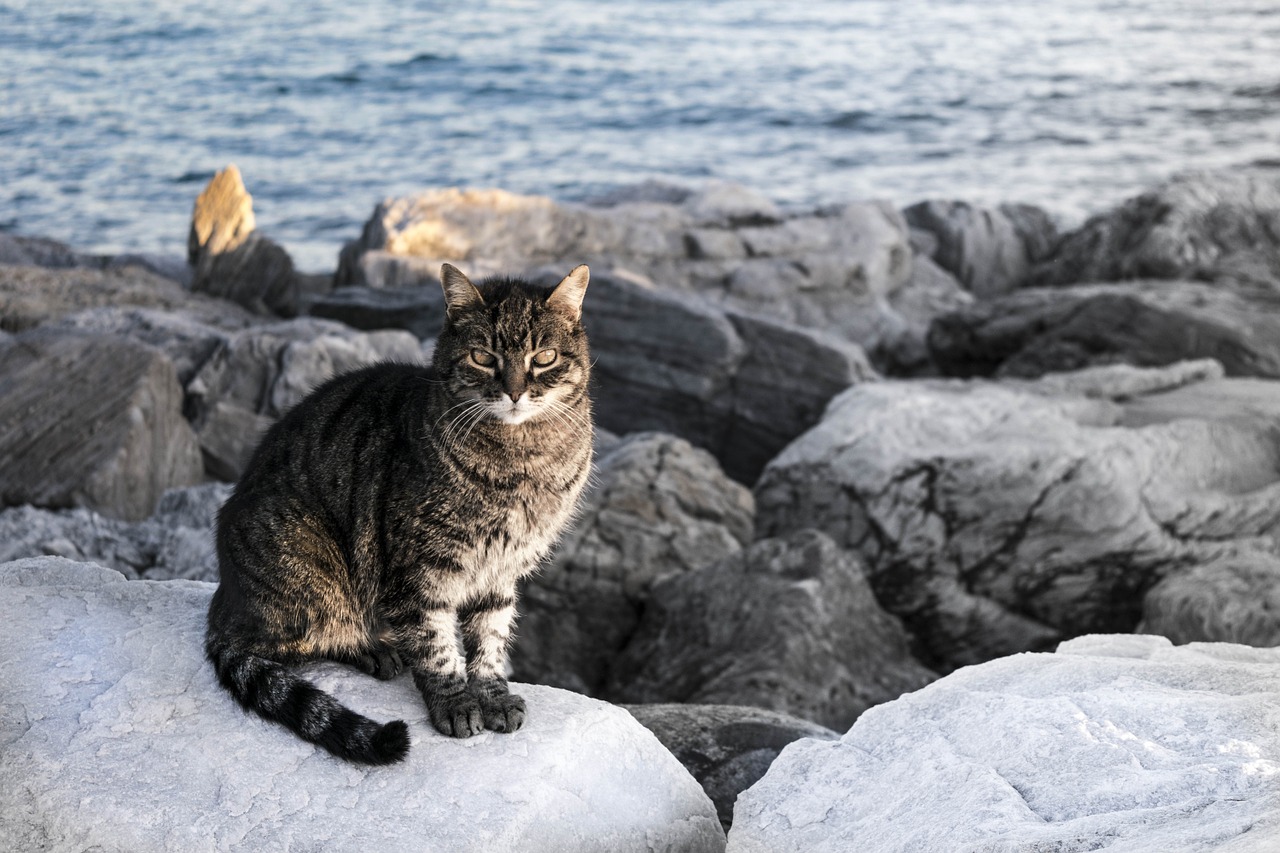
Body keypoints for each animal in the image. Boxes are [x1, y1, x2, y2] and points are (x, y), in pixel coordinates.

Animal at [206, 262, 593, 758]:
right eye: (482, 357)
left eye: (543, 357)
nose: (514, 393)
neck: (522, 458)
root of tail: (224, 603)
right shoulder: (420, 569)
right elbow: (437, 646)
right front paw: (455, 703)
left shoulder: (502, 570)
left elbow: (491, 638)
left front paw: (491, 694)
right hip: (310, 565)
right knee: (292, 641)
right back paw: (372, 648)